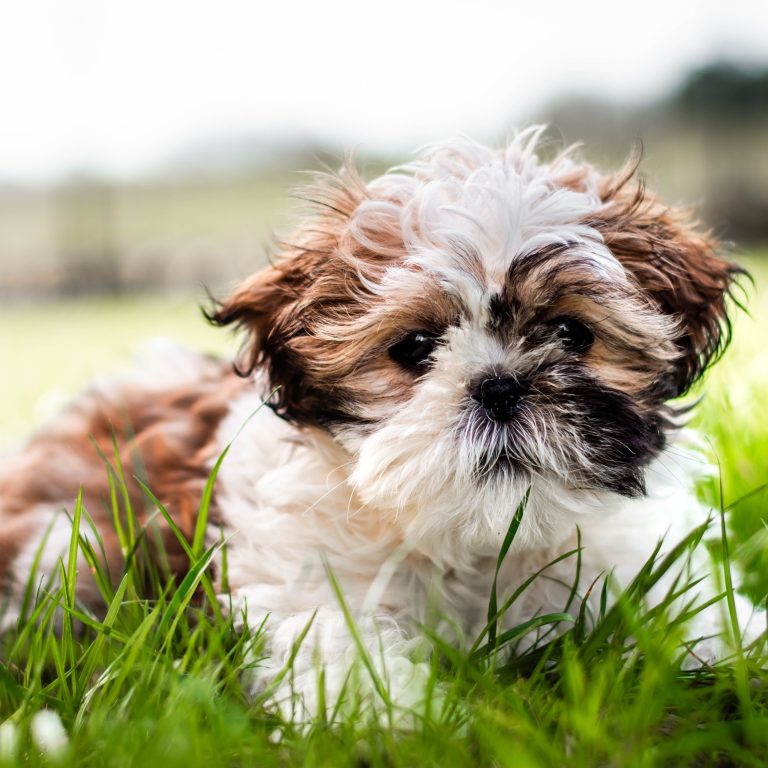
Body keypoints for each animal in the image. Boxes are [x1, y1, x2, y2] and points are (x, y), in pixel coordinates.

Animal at [0, 126, 752, 720]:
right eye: (414, 348)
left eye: (573, 333)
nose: (499, 387)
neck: (483, 541)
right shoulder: (308, 584)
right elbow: (341, 655)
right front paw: (406, 723)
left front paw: (729, 656)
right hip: (61, 547)